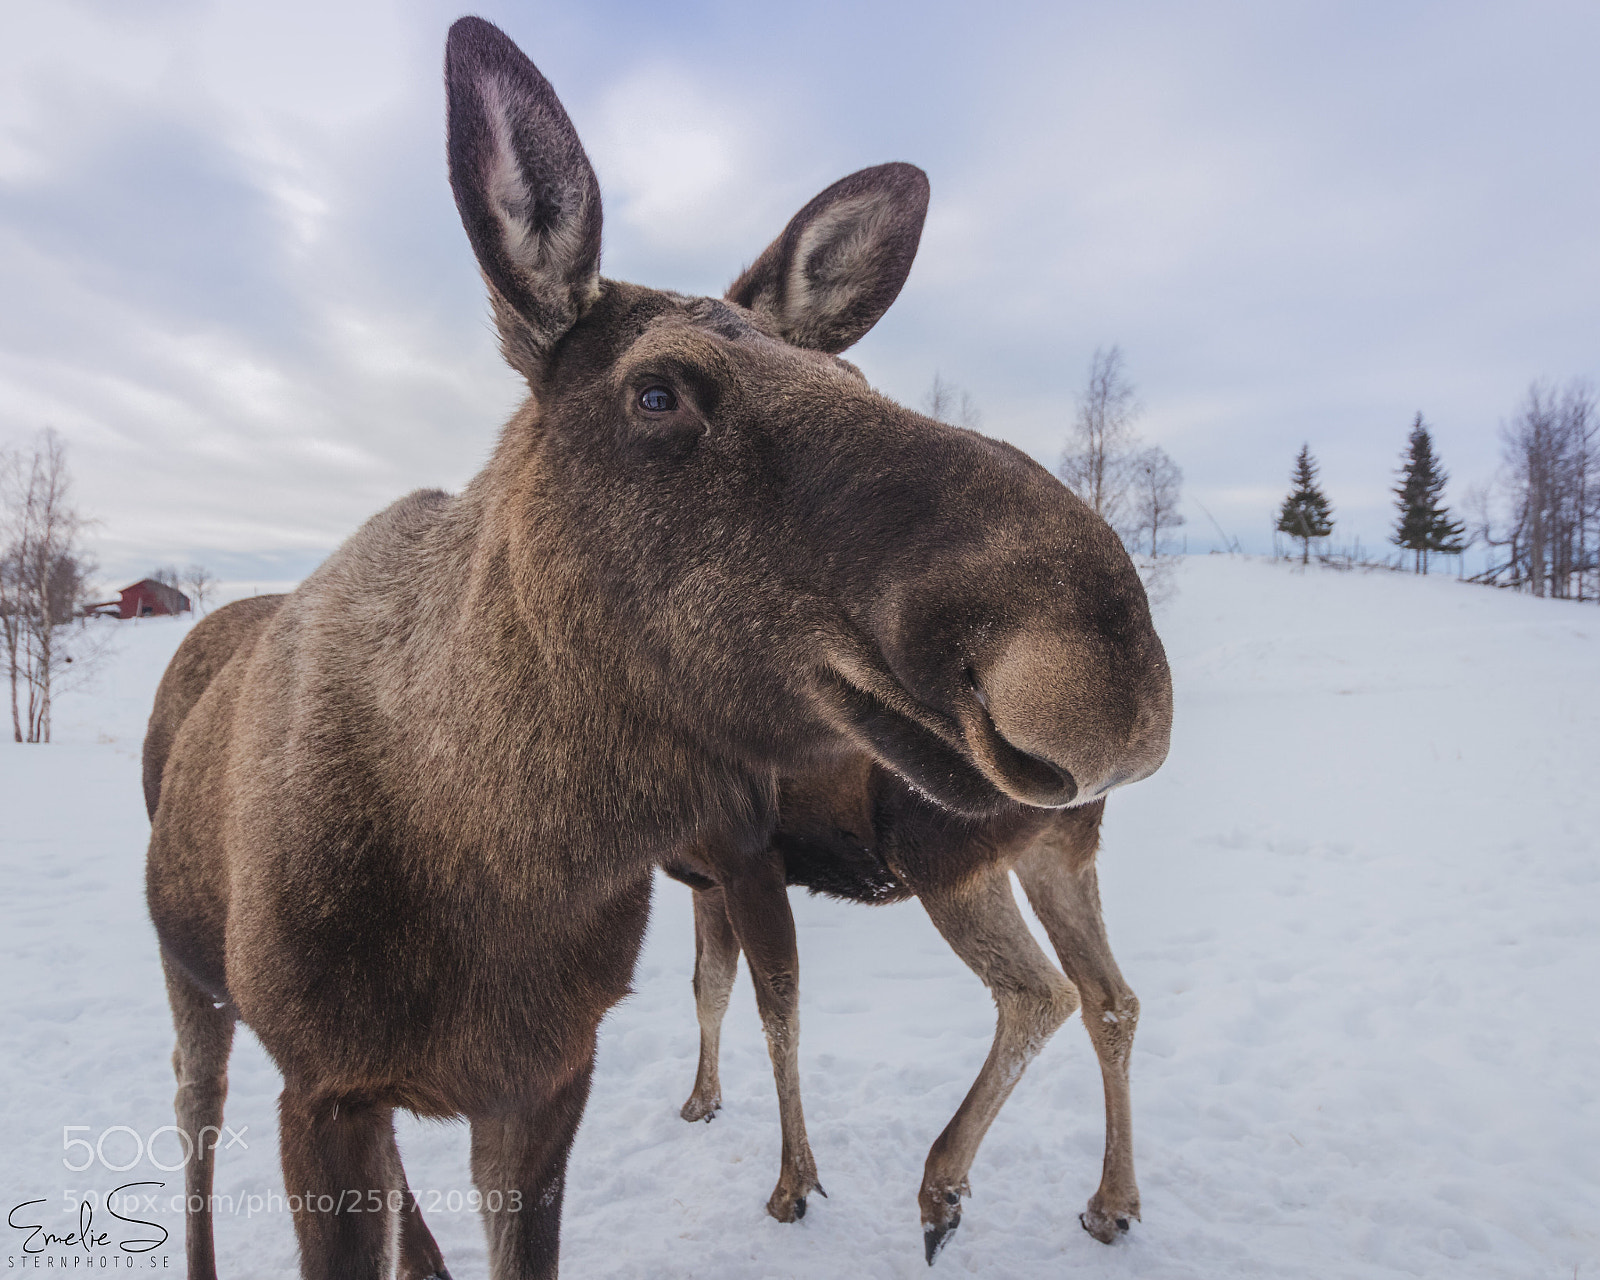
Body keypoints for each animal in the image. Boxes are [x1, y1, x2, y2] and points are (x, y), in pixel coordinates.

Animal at [664, 766, 1142, 1263]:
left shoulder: (747, 860)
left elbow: (779, 1015)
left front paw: (792, 1188)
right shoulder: (707, 879)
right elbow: (709, 988)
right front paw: (700, 1103)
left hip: (940, 849)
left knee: (1041, 993)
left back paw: (940, 1191)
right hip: (1057, 851)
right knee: (1111, 1000)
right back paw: (1111, 1207)